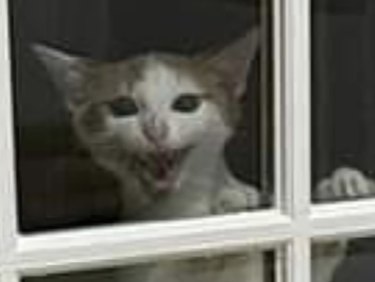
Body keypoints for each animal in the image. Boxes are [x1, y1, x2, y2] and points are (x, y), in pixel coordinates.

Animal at [32, 29, 375, 282]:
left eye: (186, 103)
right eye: (123, 107)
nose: (155, 130)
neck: (179, 210)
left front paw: (342, 185)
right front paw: (233, 204)